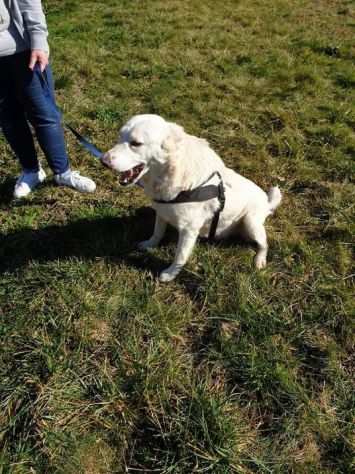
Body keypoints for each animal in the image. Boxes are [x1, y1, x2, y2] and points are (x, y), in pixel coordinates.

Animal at [101, 114, 282, 282]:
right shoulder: (162, 212)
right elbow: (157, 233)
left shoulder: (189, 230)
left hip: (251, 222)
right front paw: (149, 245)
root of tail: (267, 202)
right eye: (119, 136)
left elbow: (180, 257)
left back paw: (259, 260)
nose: (103, 161)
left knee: (264, 244)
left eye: (136, 143)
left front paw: (170, 274)